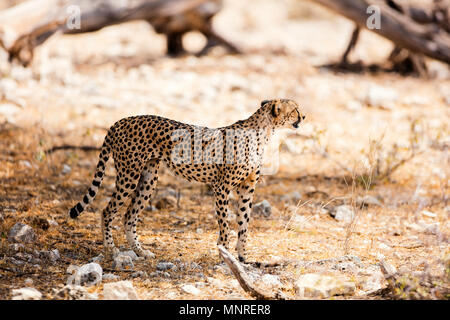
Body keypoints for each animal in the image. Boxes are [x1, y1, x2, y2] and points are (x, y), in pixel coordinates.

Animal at [67, 99, 306, 262]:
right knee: (108, 211)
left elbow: (244, 224)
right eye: (295, 109)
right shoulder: (221, 187)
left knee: (129, 216)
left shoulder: (247, 188)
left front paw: (242, 258)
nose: (304, 117)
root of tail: (120, 120)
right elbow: (225, 224)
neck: (263, 132)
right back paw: (111, 250)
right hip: (129, 174)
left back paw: (140, 251)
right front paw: (224, 254)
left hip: (148, 179)